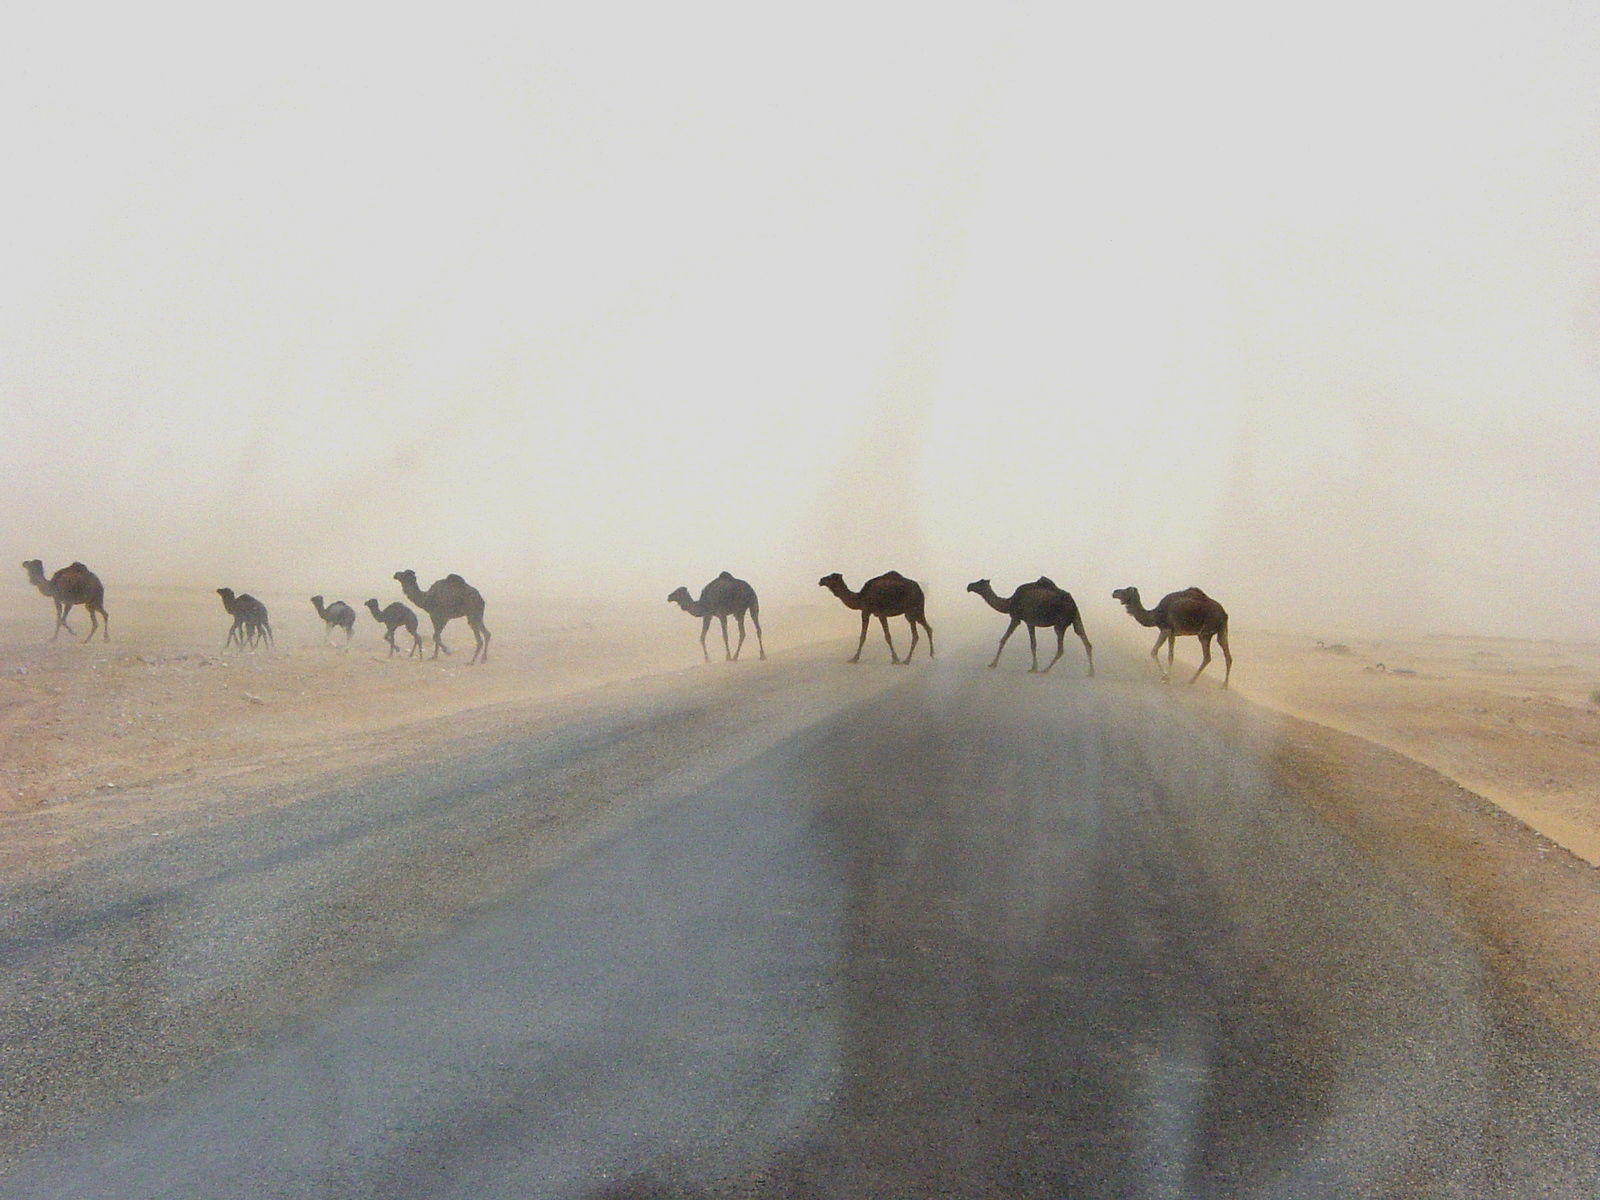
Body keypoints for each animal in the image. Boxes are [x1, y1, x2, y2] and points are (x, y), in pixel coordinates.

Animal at [966, 579, 1094, 681]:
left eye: (980, 582)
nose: (969, 586)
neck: (1009, 603)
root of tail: (1073, 603)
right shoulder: (1029, 622)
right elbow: (1032, 644)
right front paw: (1034, 667)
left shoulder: (1020, 619)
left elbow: (1009, 640)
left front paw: (993, 664)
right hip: (1076, 618)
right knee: (1085, 640)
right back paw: (1091, 672)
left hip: (1060, 623)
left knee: (1061, 648)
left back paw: (1045, 669)